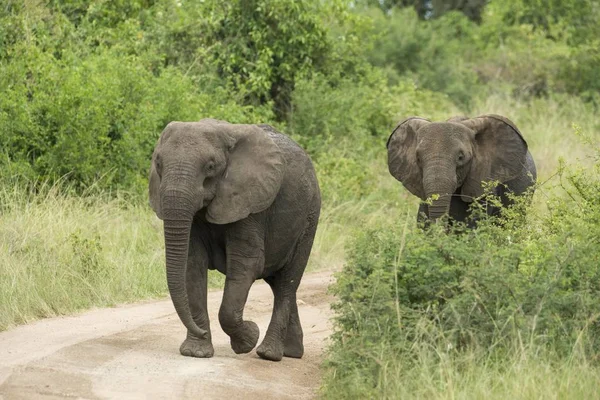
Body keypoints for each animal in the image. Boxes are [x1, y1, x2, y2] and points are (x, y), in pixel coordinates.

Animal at [148, 117, 322, 360]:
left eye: (210, 167)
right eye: (158, 163)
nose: (201, 331)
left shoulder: (251, 202)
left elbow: (246, 264)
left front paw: (248, 339)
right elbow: (192, 265)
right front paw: (196, 352)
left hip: (310, 217)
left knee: (288, 281)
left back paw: (269, 354)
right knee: (278, 282)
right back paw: (292, 352)